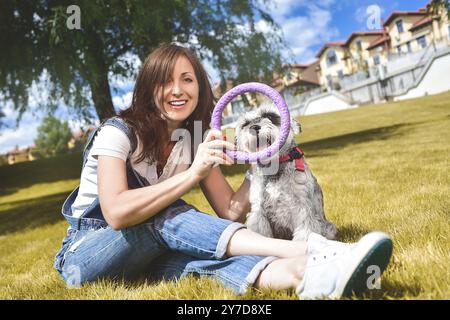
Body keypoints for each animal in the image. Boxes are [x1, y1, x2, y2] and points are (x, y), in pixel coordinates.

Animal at [236, 104, 338, 241]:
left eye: (270, 116)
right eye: (245, 123)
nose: (253, 127)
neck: (274, 171)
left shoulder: (302, 208)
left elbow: (304, 232)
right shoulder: (258, 212)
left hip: (329, 228)